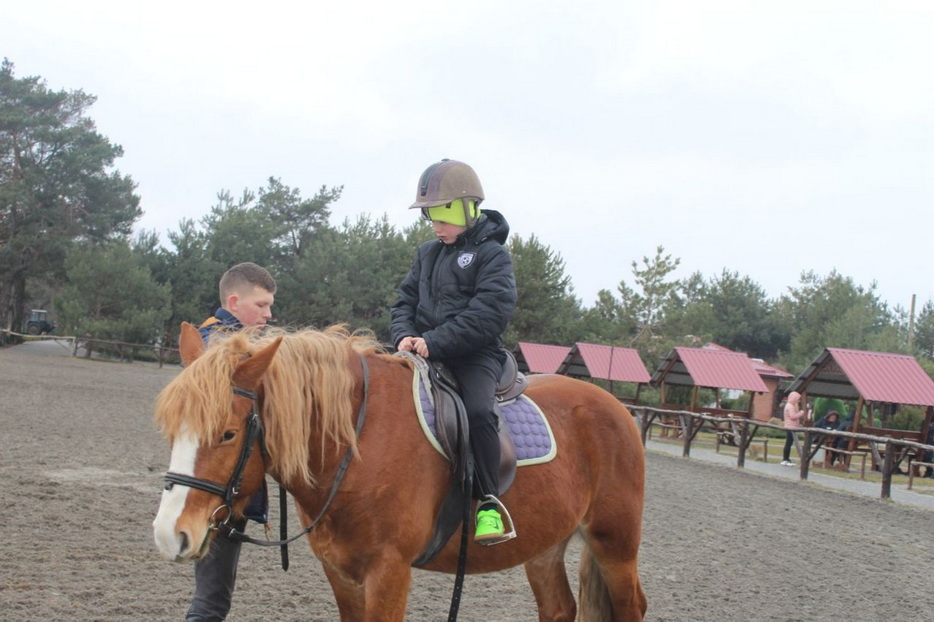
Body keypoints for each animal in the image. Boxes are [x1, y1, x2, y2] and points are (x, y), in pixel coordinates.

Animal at [152, 322, 647, 621]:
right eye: (172, 429)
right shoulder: (341, 573)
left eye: (228, 434)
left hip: (615, 545)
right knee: (560, 608)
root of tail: (617, 408)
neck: (357, 446)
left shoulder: (389, 572)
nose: (169, 534)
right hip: (546, 546)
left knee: (632, 607)